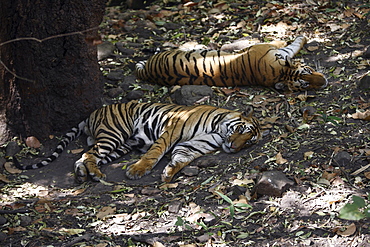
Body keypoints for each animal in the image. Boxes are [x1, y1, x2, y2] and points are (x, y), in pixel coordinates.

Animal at [13, 101, 260, 183]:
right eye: (241, 130)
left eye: (249, 142)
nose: (235, 147)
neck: (218, 130)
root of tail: (92, 114)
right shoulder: (171, 131)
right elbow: (154, 153)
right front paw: (138, 170)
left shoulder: (191, 145)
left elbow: (180, 158)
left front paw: (169, 173)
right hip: (115, 133)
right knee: (88, 154)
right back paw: (95, 174)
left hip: (120, 146)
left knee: (85, 156)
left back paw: (85, 174)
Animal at [135, 36, 326, 91]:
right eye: (305, 82)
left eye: (309, 72)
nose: (324, 82)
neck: (278, 71)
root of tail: (147, 72)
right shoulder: (267, 48)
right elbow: (289, 45)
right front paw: (302, 37)